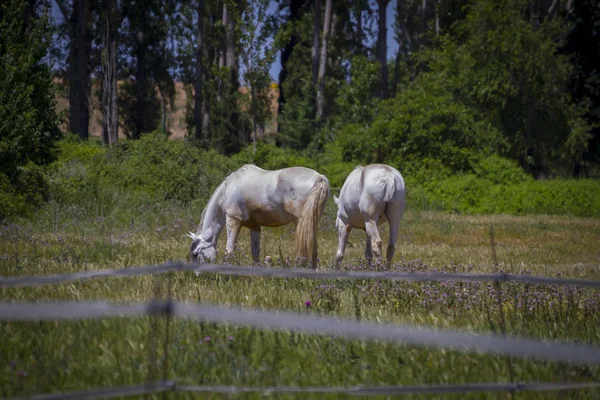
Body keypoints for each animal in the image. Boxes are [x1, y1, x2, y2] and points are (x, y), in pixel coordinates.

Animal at [188, 162, 328, 268]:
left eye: (195, 254)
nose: (197, 274)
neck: (230, 188)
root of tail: (319, 178)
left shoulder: (233, 220)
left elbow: (229, 250)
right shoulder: (254, 226)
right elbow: (255, 252)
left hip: (300, 222)